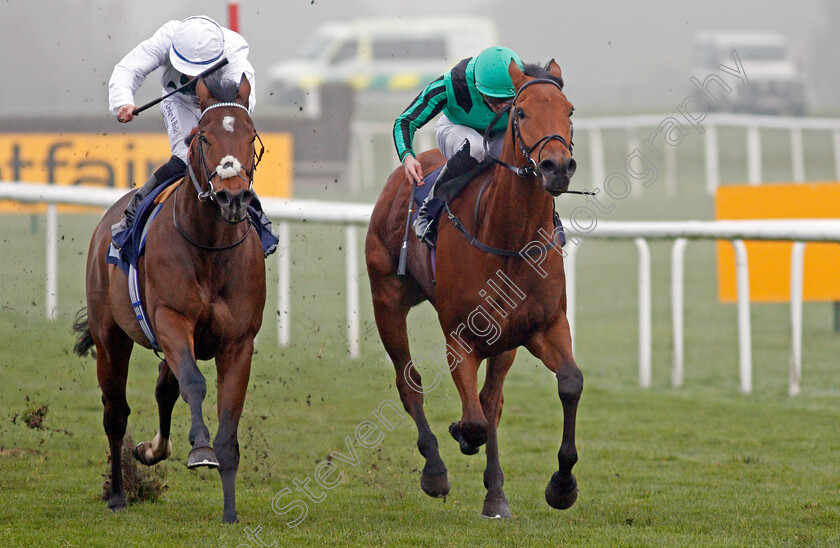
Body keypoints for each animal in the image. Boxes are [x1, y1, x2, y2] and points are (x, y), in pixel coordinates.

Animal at [75, 74, 268, 524]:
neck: (209, 247)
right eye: (203, 137)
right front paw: (200, 449)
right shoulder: (171, 320)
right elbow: (194, 384)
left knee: (165, 388)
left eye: (250, 135)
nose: (234, 198)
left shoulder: (239, 342)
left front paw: (230, 512)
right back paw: (118, 494)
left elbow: (228, 418)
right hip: (111, 338)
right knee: (115, 413)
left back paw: (151, 451)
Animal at [364, 61, 580, 520]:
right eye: (521, 113)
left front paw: (562, 485)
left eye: (568, 110)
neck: (512, 239)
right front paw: (459, 435)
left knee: (491, 400)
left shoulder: (543, 325)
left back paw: (495, 495)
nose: (557, 166)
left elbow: (568, 383)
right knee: (409, 382)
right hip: (387, 300)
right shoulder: (460, 336)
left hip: (505, 339)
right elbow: (475, 421)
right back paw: (435, 470)